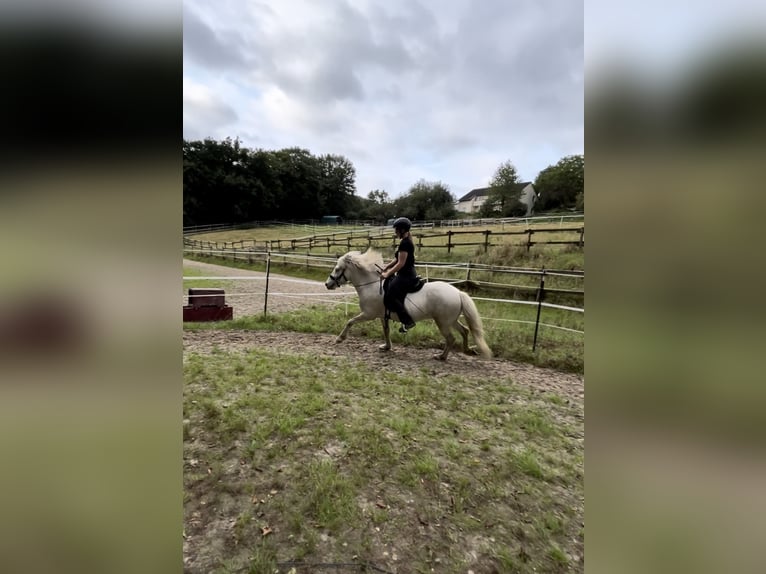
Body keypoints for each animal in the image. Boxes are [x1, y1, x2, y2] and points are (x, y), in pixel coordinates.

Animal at [322, 251, 492, 362]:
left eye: (337, 269)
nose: (327, 284)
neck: (371, 285)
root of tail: (457, 292)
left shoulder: (368, 314)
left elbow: (350, 321)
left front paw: (340, 338)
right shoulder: (382, 316)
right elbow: (386, 331)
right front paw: (386, 347)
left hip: (443, 322)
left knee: (451, 338)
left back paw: (442, 357)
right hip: (451, 320)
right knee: (465, 330)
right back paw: (467, 350)